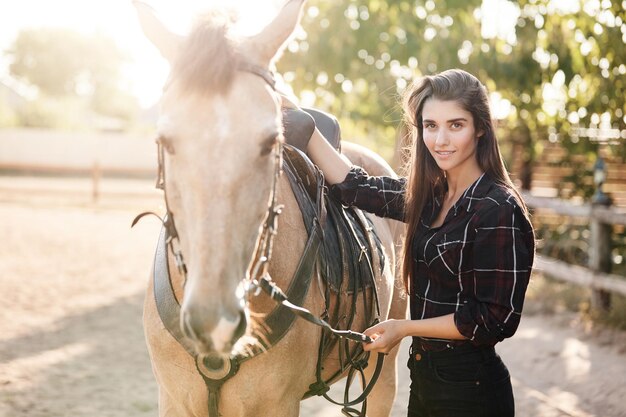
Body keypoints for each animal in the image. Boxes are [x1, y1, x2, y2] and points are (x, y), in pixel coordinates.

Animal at [132, 1, 404, 414]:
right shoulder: (173, 400)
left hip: (383, 361)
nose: (215, 321)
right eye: (165, 140)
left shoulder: (277, 404)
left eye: (269, 142)